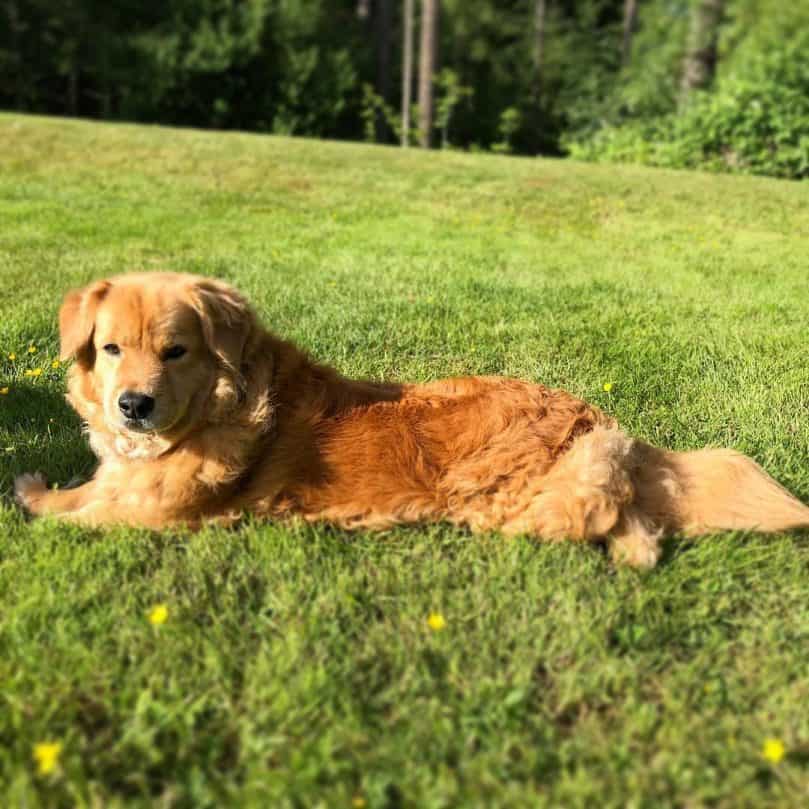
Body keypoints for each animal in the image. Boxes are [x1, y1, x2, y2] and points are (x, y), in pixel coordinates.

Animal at [12, 274, 808, 564]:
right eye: (111, 348)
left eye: (175, 350)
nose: (132, 405)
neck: (215, 408)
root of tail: (593, 417)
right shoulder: (126, 479)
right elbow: (85, 489)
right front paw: (38, 484)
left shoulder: (156, 514)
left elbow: (75, 517)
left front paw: (33, 505)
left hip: (515, 500)